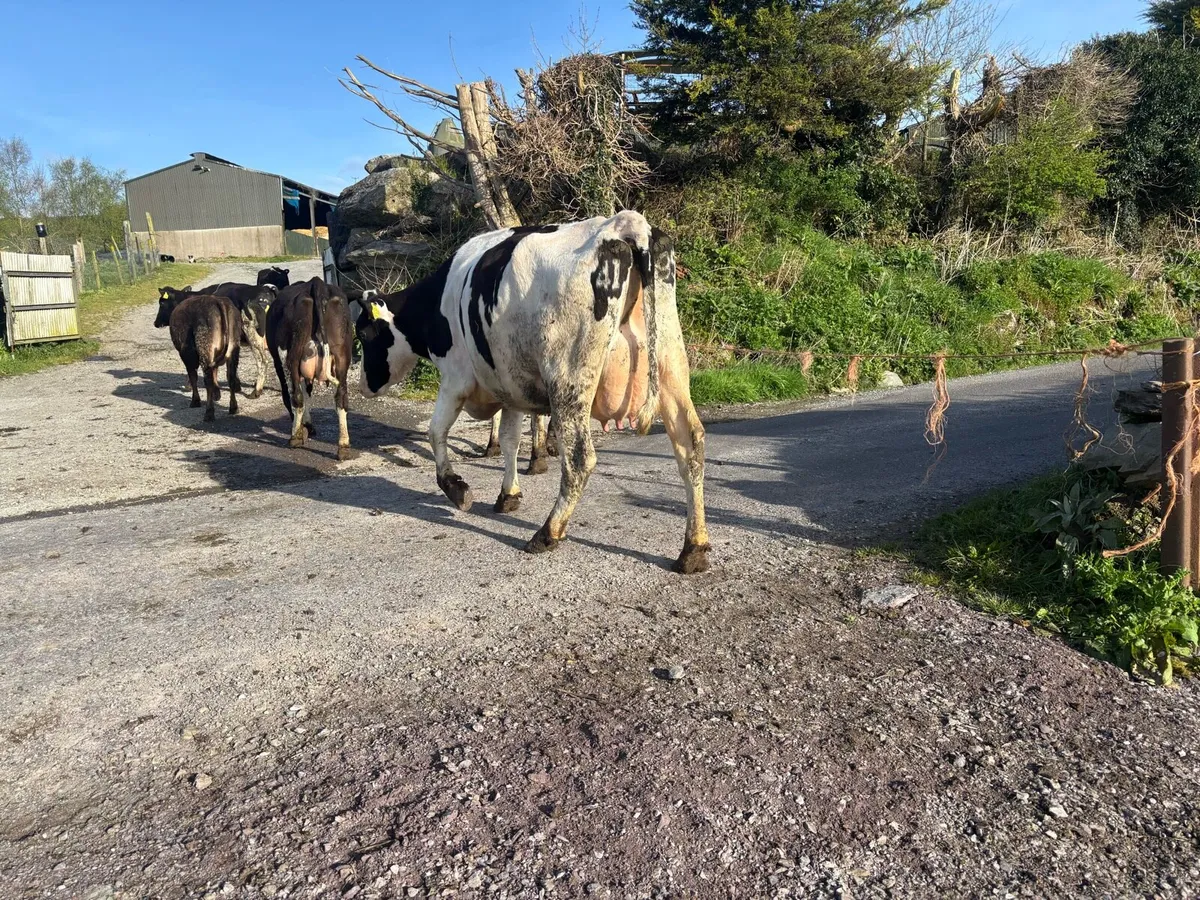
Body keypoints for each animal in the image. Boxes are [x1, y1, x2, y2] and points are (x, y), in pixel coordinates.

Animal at [154, 293, 243, 421]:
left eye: (161, 304)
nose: (155, 322)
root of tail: (217, 300)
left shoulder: (186, 354)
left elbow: (193, 377)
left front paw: (195, 400)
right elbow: (214, 372)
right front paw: (217, 393)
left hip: (205, 348)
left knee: (208, 380)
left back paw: (209, 413)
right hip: (233, 349)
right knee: (230, 377)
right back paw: (233, 407)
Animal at [266, 277, 354, 460]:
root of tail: (316, 283)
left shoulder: (278, 362)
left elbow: (294, 395)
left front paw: (304, 428)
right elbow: (308, 392)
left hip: (290, 357)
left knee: (296, 396)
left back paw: (295, 438)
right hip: (342, 357)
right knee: (341, 398)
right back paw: (343, 446)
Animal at [355, 212, 709, 574]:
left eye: (363, 334)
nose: (363, 385)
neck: (438, 302)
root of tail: (623, 224)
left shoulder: (456, 377)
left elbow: (435, 431)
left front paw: (456, 488)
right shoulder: (510, 384)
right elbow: (510, 440)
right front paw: (508, 494)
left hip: (569, 378)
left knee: (580, 459)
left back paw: (548, 532)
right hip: (670, 362)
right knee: (690, 444)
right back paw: (693, 549)